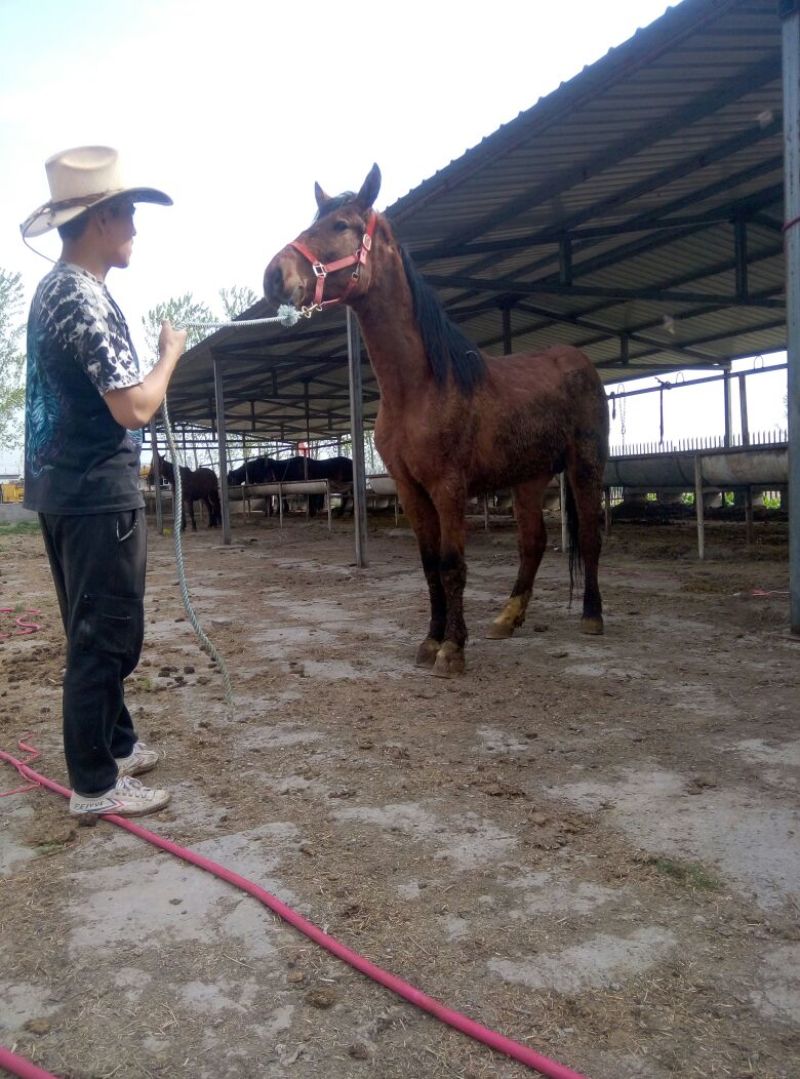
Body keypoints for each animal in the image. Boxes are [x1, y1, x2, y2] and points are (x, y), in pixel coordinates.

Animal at [264, 164, 608, 677]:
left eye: (341, 225)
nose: (274, 277)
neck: (420, 386)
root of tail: (578, 360)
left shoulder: (448, 486)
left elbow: (451, 565)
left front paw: (453, 650)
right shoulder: (410, 488)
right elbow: (429, 565)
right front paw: (430, 641)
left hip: (585, 465)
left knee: (587, 533)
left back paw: (591, 616)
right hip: (528, 477)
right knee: (532, 542)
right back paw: (507, 618)